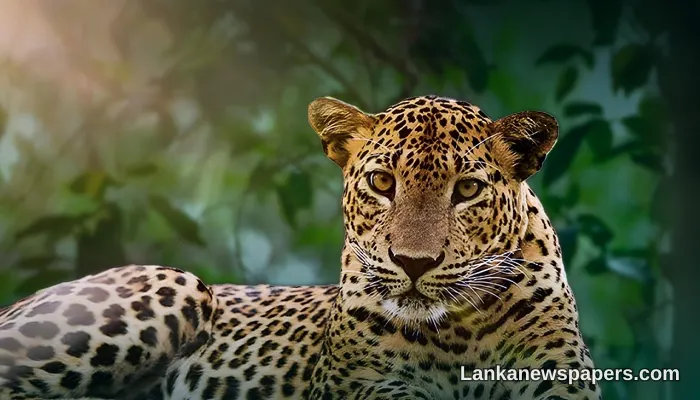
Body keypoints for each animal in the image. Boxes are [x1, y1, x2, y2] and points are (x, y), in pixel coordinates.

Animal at [0, 95, 600, 400]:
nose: (414, 263)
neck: (457, 332)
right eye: (383, 183)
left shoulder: (556, 374)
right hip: (174, 285)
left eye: (468, 190)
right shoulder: (361, 387)